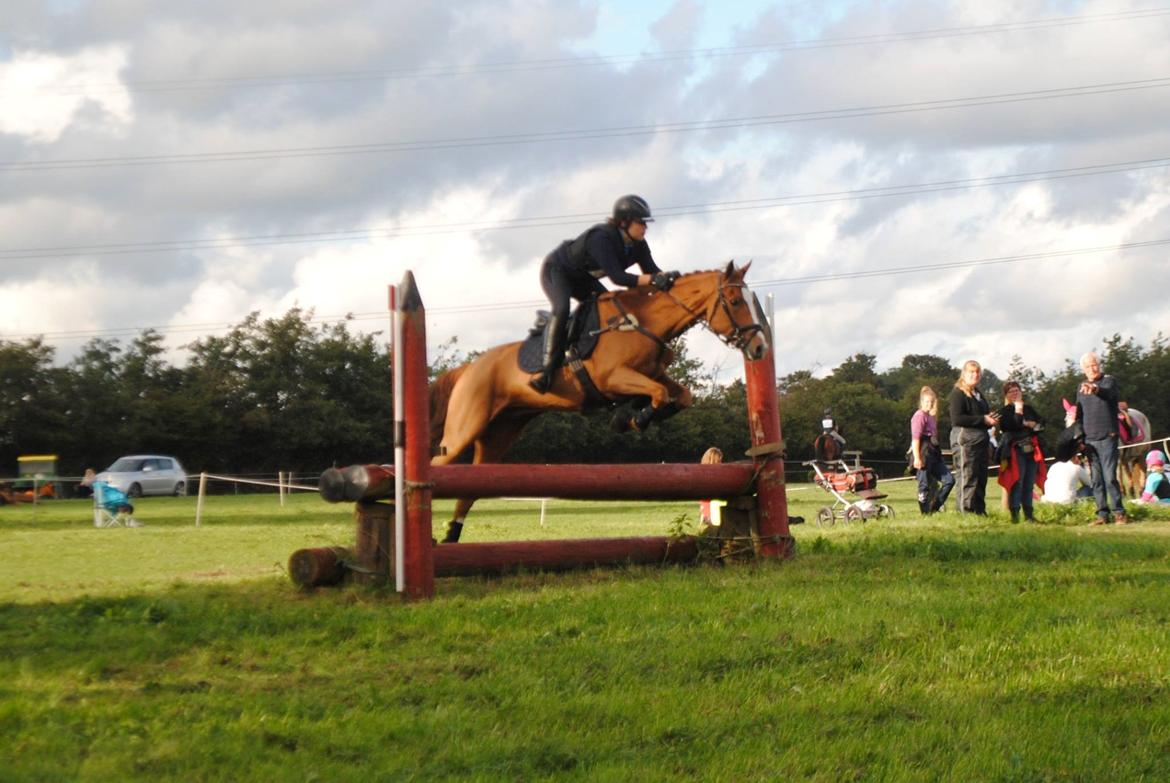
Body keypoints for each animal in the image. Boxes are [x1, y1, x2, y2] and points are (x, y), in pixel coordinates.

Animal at [428, 259, 767, 540]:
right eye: (735, 302)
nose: (760, 348)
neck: (642, 322)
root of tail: (469, 368)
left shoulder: (653, 375)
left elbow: (680, 396)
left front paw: (629, 416)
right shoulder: (613, 377)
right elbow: (657, 394)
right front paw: (631, 418)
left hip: (500, 433)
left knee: (469, 487)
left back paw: (450, 538)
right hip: (465, 428)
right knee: (438, 464)